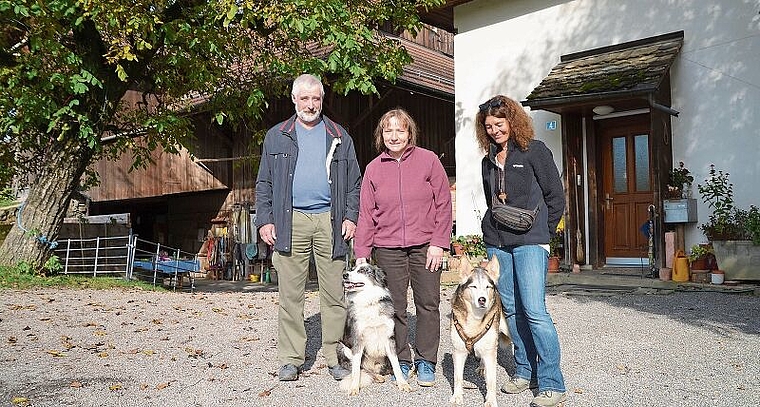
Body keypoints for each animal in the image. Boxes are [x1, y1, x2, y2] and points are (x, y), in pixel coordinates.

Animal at [452, 258, 510, 407]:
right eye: (473, 287)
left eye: (488, 287)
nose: (482, 299)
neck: (475, 318)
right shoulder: (458, 352)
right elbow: (457, 377)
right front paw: (457, 396)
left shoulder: (490, 354)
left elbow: (491, 381)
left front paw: (490, 400)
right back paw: (481, 367)